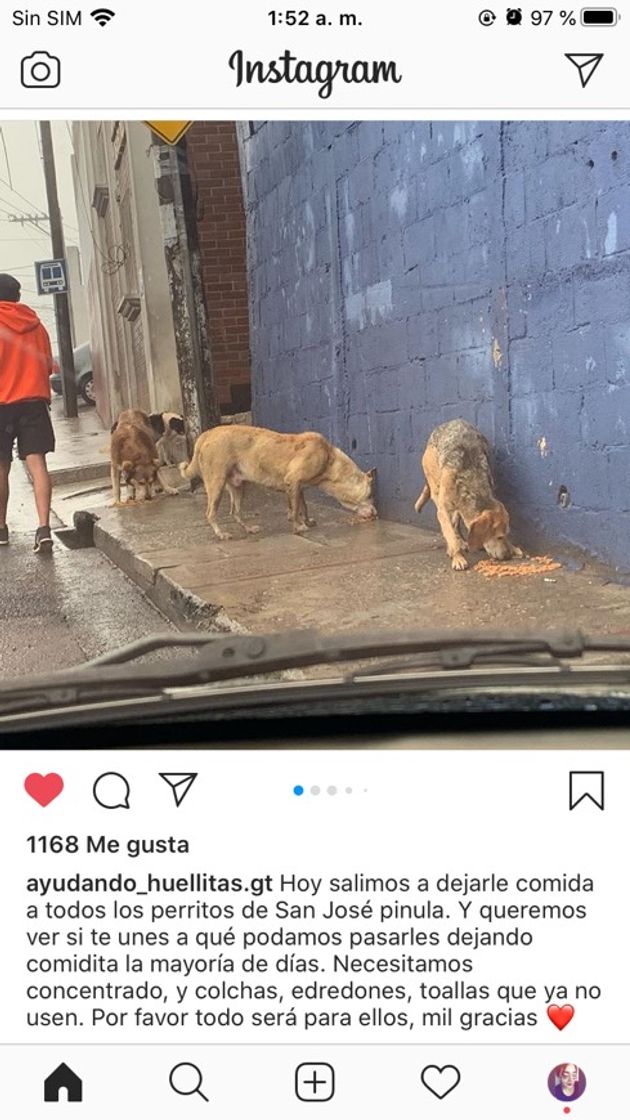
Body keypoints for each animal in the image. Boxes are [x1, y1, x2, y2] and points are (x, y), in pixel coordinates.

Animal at [177, 421, 374, 539]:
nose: (376, 513)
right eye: (371, 495)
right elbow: (295, 510)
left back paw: (248, 529)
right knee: (210, 513)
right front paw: (298, 527)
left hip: (238, 486)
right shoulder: (293, 480)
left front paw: (306, 521)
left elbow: (302, 507)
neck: (330, 458)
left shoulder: (298, 487)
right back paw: (221, 534)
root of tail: (206, 435)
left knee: (235, 512)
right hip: (216, 483)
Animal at [414, 421, 522, 577]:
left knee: (455, 523)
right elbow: (450, 536)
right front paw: (457, 557)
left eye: (506, 535)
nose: (507, 556)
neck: (473, 481)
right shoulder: (443, 510)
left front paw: (512, 547)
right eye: (499, 537)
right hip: (434, 481)